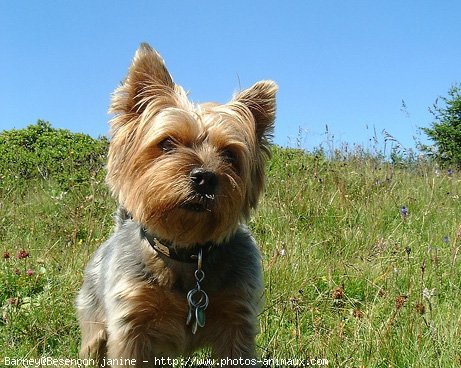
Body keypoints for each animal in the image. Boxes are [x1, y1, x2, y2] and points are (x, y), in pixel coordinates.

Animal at [76, 42, 276, 366]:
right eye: (167, 143)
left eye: (230, 155)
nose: (205, 178)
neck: (187, 252)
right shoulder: (131, 323)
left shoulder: (237, 319)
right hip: (93, 320)